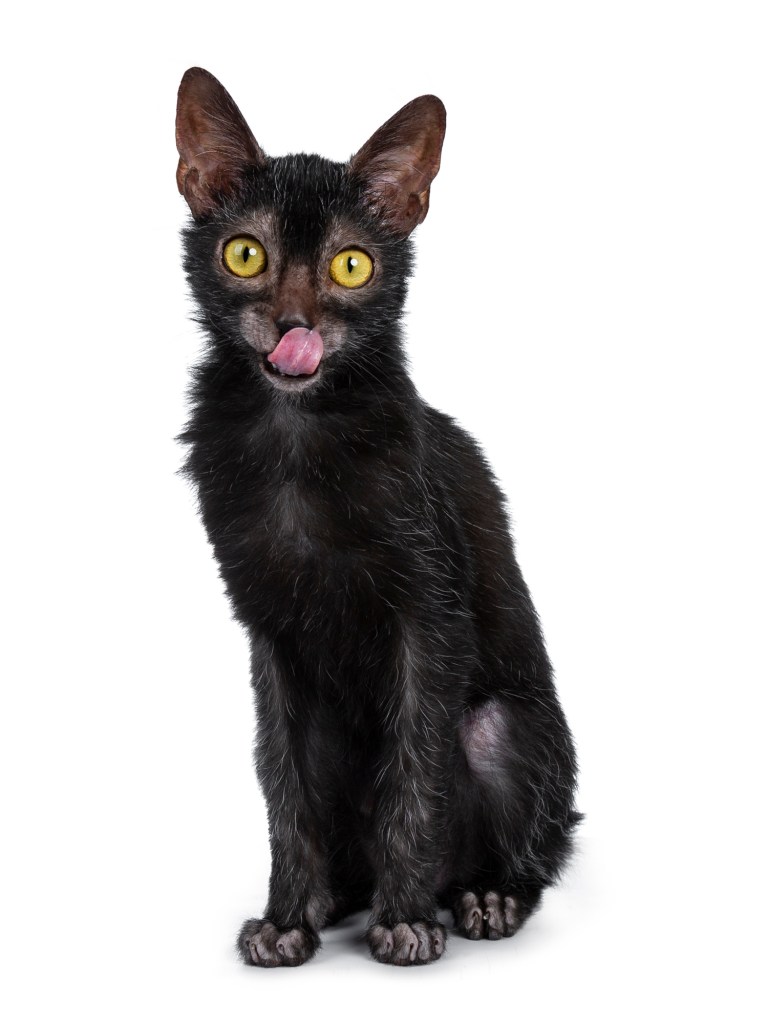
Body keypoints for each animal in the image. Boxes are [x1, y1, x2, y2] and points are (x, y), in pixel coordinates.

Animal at [176, 66, 581, 966]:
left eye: (352, 264)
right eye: (245, 254)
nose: (294, 326)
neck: (297, 437)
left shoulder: (427, 618)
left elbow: (416, 771)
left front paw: (406, 920)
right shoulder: (269, 632)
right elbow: (282, 782)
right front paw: (288, 918)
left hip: (503, 724)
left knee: (534, 848)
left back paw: (481, 897)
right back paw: (337, 899)